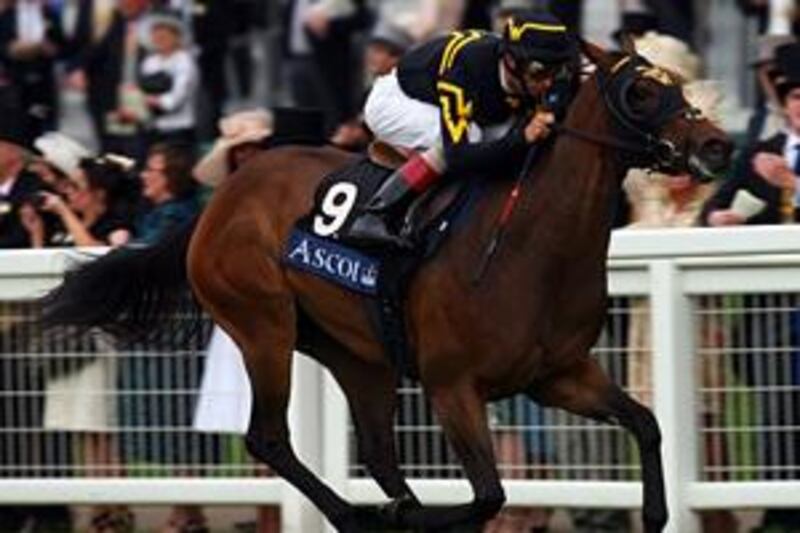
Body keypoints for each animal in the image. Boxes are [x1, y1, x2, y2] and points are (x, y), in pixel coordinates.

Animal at [42, 42, 732, 532]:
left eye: (676, 87)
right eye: (640, 92)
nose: (718, 145)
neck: (530, 245)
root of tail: (217, 202)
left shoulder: (558, 374)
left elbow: (646, 423)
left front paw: (655, 514)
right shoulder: (453, 385)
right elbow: (488, 495)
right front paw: (408, 516)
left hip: (357, 353)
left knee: (375, 450)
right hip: (263, 324)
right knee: (269, 437)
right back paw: (359, 514)